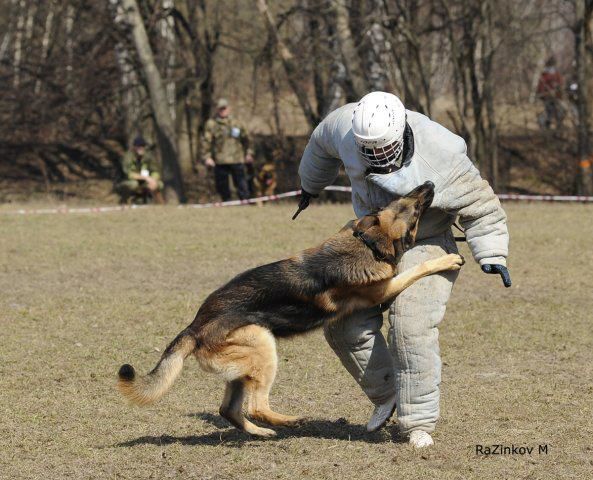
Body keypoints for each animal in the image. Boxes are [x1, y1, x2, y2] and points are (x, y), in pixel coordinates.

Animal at [118, 180, 462, 436]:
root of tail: (193, 327)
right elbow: (415, 268)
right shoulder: (384, 288)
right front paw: (447, 259)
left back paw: (262, 432)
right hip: (262, 343)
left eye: (403, 199)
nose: (429, 184)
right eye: (414, 212)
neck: (366, 242)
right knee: (255, 406)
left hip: (243, 366)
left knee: (229, 410)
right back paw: (292, 421)